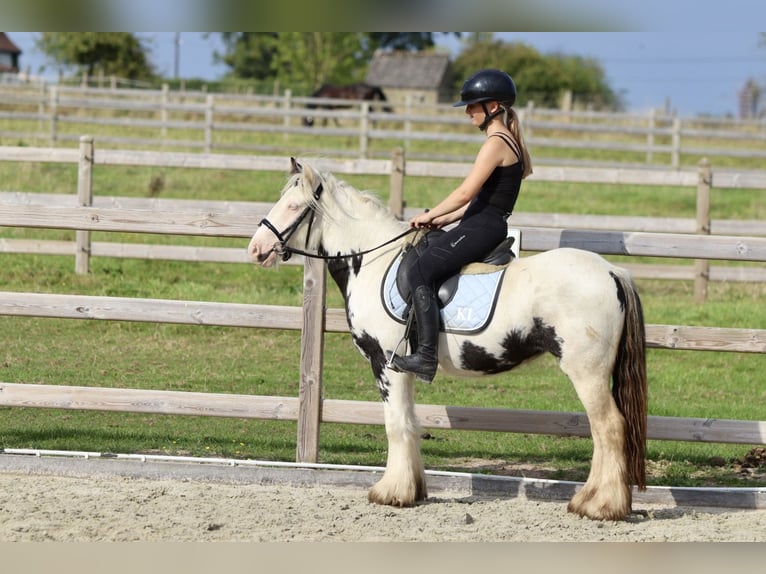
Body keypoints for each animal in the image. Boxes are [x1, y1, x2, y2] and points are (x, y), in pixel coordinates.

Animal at [250, 159, 648, 520]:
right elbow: (410, 423)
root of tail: (613, 271)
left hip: (587, 370)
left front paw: (391, 493)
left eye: (293, 206)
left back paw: (602, 507)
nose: (256, 249)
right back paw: (588, 501)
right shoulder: (403, 368)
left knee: (609, 428)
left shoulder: (386, 363)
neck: (373, 261)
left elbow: (395, 424)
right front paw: (413, 490)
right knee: (603, 431)